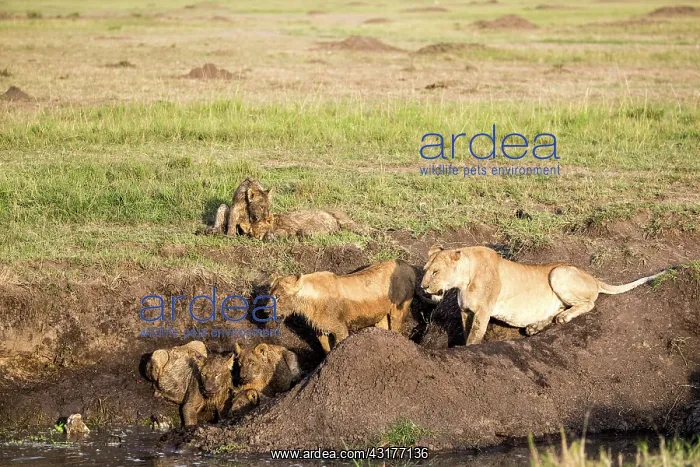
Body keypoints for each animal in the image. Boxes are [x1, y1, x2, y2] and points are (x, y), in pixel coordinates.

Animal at [270, 260, 416, 353]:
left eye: (278, 296)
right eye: (270, 294)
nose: (266, 311)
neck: (307, 303)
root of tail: (409, 266)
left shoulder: (340, 328)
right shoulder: (320, 329)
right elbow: (326, 350)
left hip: (399, 309)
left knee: (396, 329)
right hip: (380, 316)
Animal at [421, 245, 667, 345]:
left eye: (435, 272)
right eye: (424, 270)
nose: (423, 288)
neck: (463, 281)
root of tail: (593, 277)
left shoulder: (483, 311)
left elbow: (474, 336)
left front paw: (467, 349)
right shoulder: (466, 310)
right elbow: (465, 331)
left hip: (558, 273)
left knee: (588, 303)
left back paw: (562, 318)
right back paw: (535, 326)